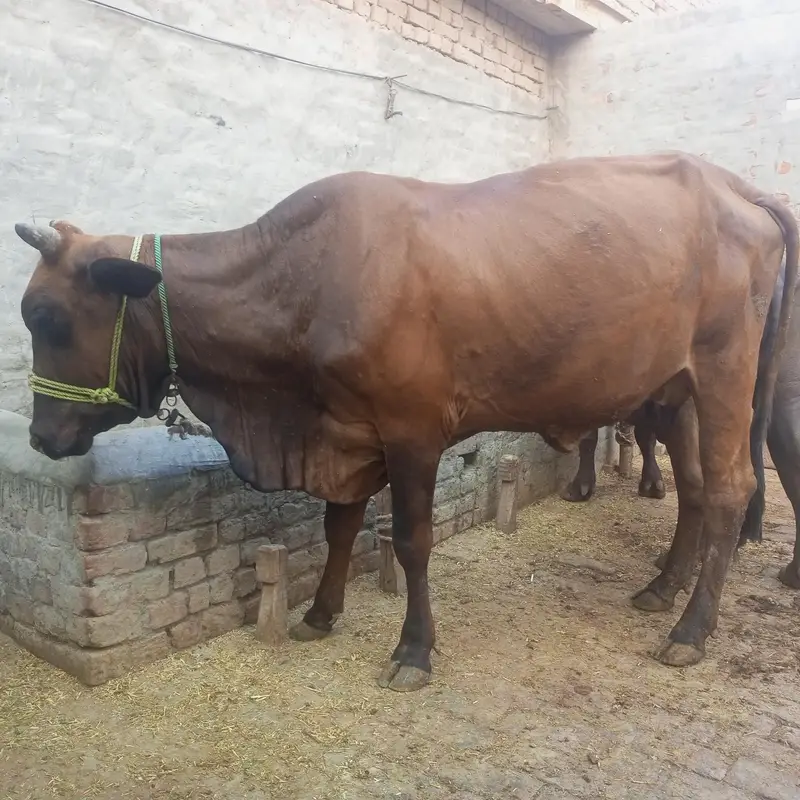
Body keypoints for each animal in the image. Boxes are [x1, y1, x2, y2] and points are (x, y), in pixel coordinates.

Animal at [15, 151, 798, 693]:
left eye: (48, 317)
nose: (40, 437)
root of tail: (735, 185)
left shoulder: (412, 432)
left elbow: (412, 543)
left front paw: (414, 650)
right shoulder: (345, 432)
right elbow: (338, 526)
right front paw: (320, 614)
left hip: (725, 375)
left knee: (730, 489)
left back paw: (691, 629)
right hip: (677, 393)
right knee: (695, 488)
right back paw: (661, 588)